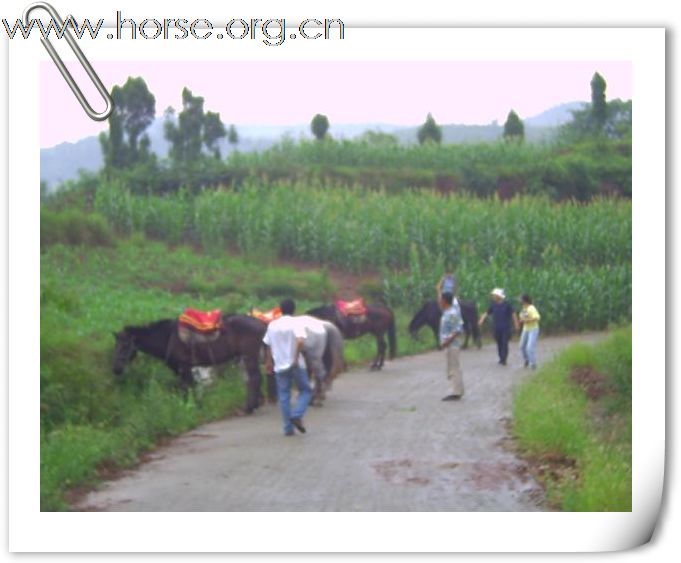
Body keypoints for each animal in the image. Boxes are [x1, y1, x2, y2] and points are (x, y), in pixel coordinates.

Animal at [112, 318, 268, 414]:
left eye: (125, 345)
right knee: (252, 379)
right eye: (116, 345)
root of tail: (261, 324)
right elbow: (191, 387)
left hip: (249, 356)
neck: (168, 338)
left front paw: (189, 408)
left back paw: (250, 407)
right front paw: (197, 406)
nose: (116, 369)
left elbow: (186, 389)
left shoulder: (184, 367)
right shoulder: (184, 370)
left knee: (255, 379)